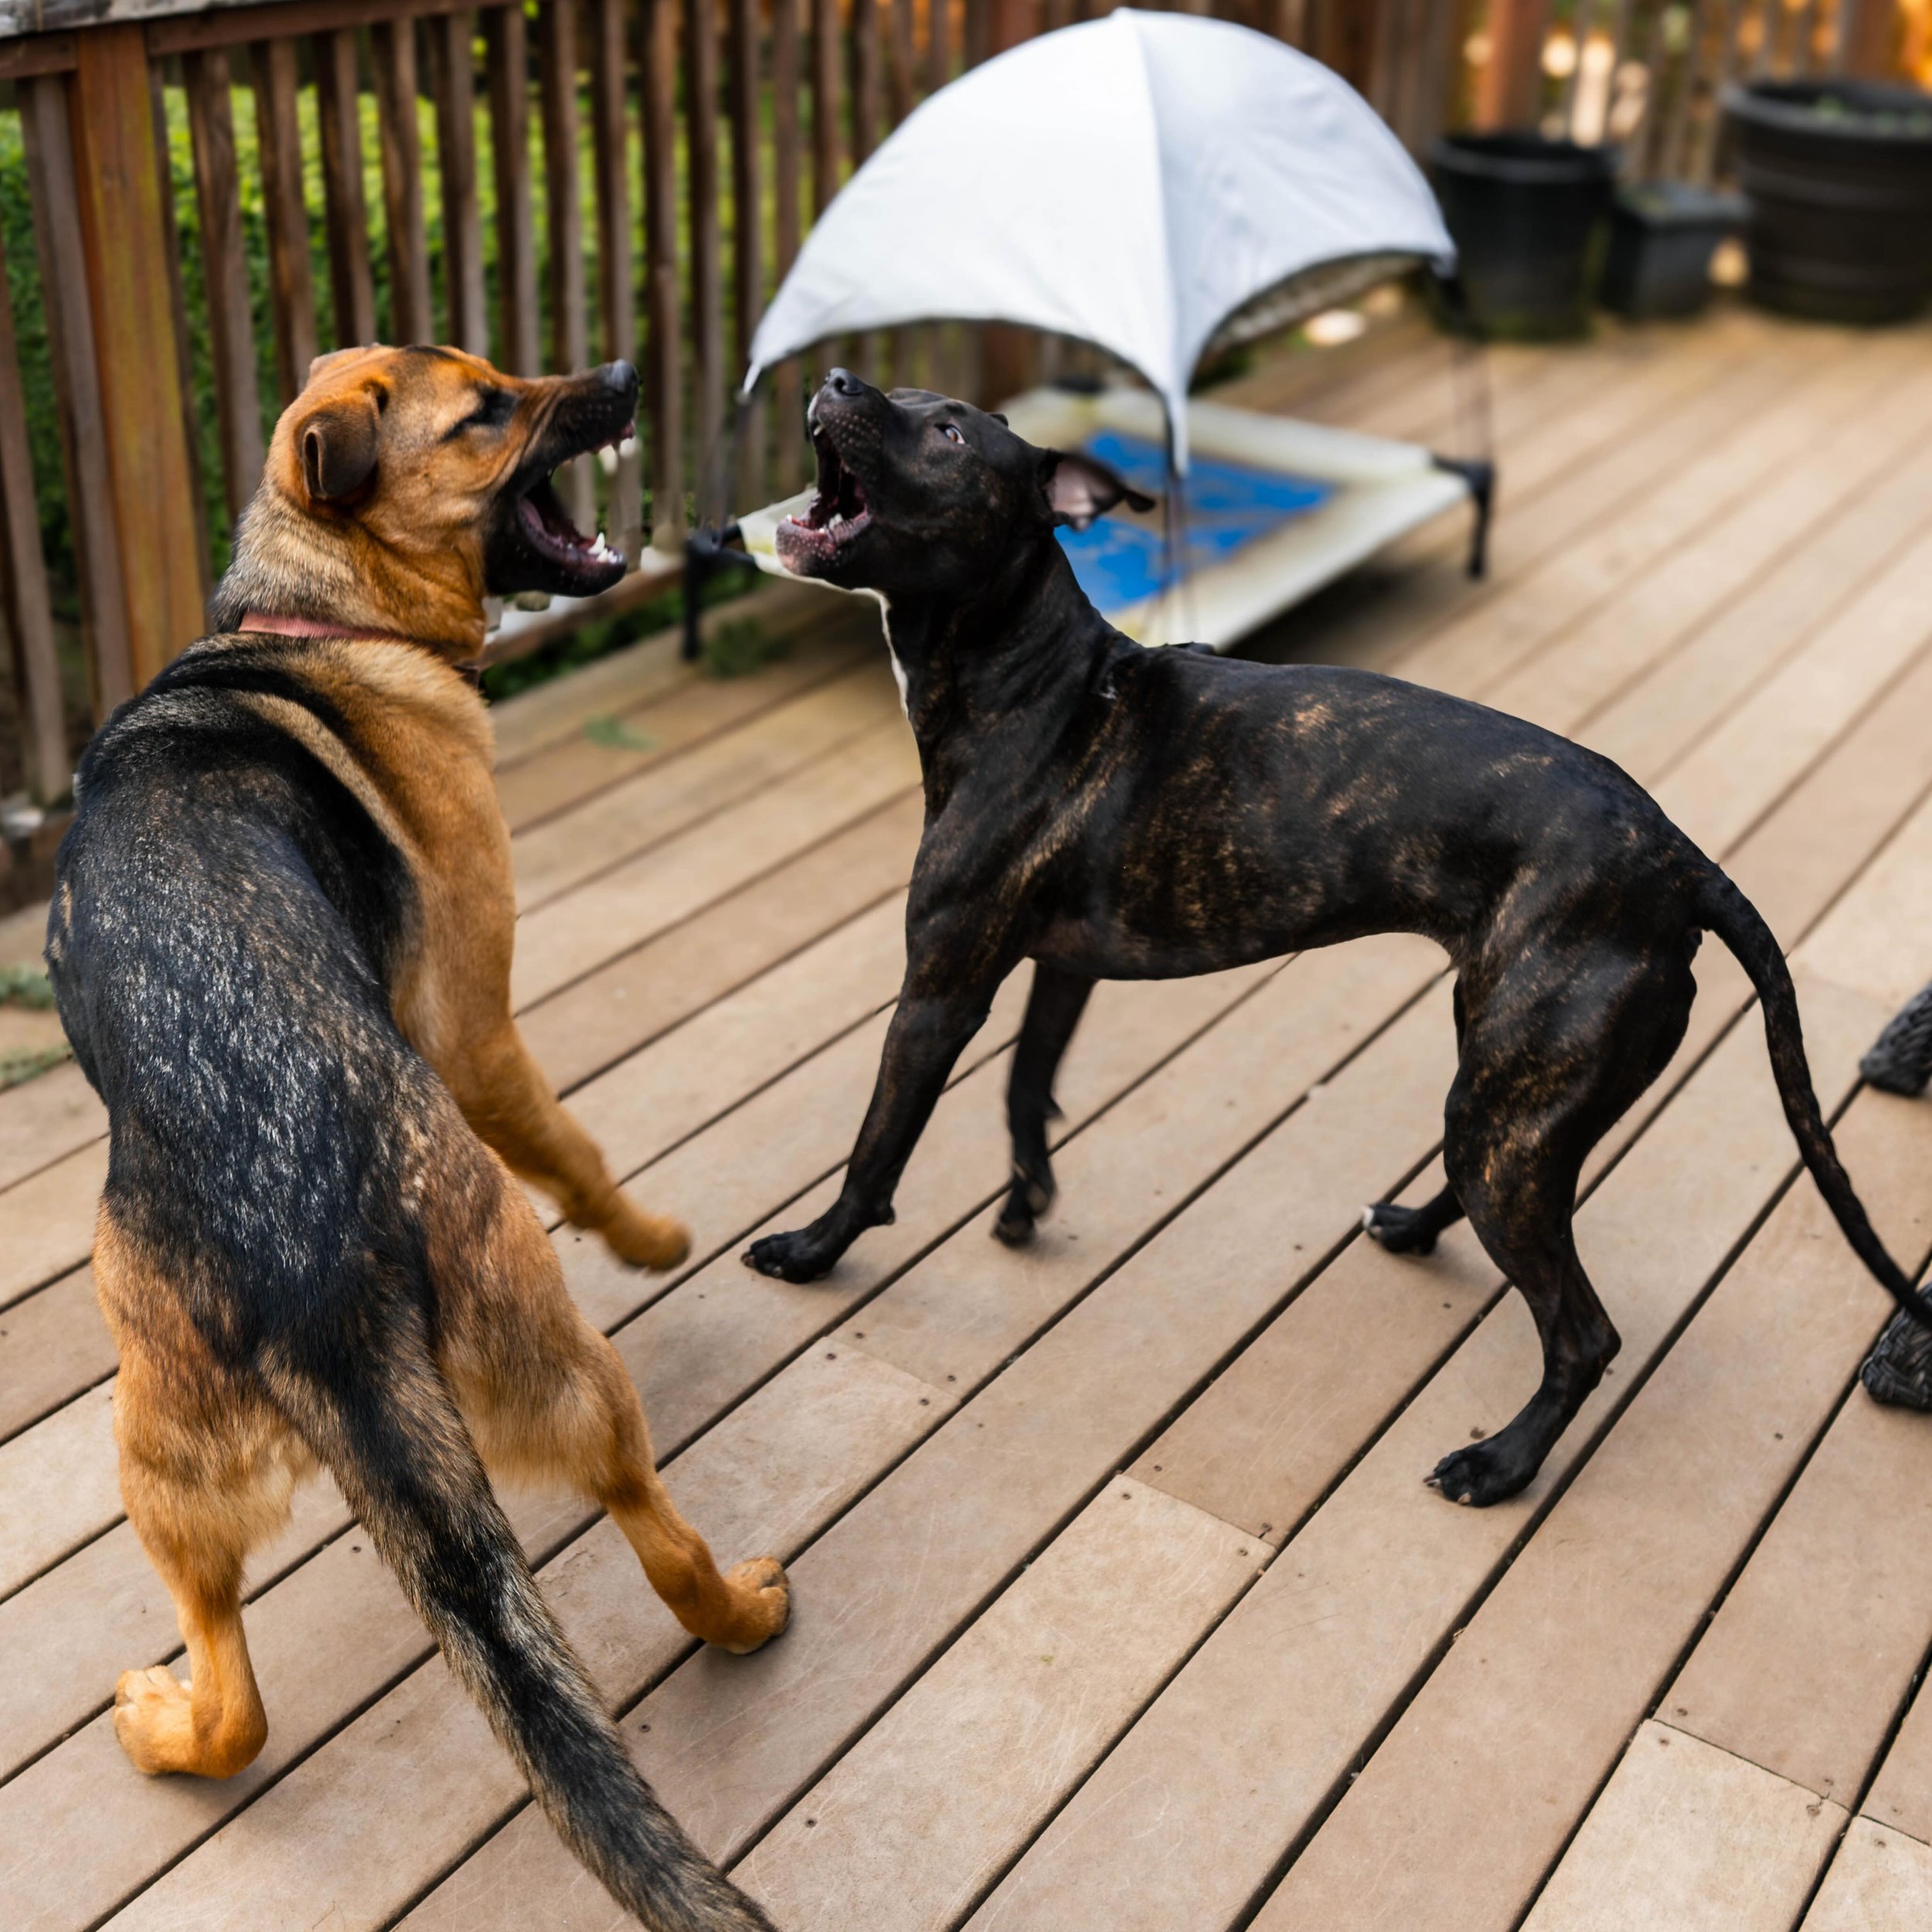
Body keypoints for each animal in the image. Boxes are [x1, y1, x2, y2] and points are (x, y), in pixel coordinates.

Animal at [53, 352, 792, 1932]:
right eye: (490, 410)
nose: (623, 372)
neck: (320, 616)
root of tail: (313, 1265)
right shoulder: (471, 1031)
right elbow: (575, 1153)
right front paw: (648, 1235)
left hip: (168, 1465)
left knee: (241, 1704)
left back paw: (163, 1729)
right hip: (559, 1364)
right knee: (654, 1530)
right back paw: (745, 1610)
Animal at [746, 365, 1932, 1507]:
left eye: (949, 434)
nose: (837, 377)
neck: (1034, 679)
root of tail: (1679, 859)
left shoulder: (937, 990)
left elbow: (878, 1145)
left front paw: (812, 1250)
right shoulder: (1059, 969)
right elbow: (1027, 1086)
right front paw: (1026, 1203)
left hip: (1514, 1100)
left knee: (1583, 1334)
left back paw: (1499, 1465)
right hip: (1508, 1085)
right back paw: (1410, 1231)